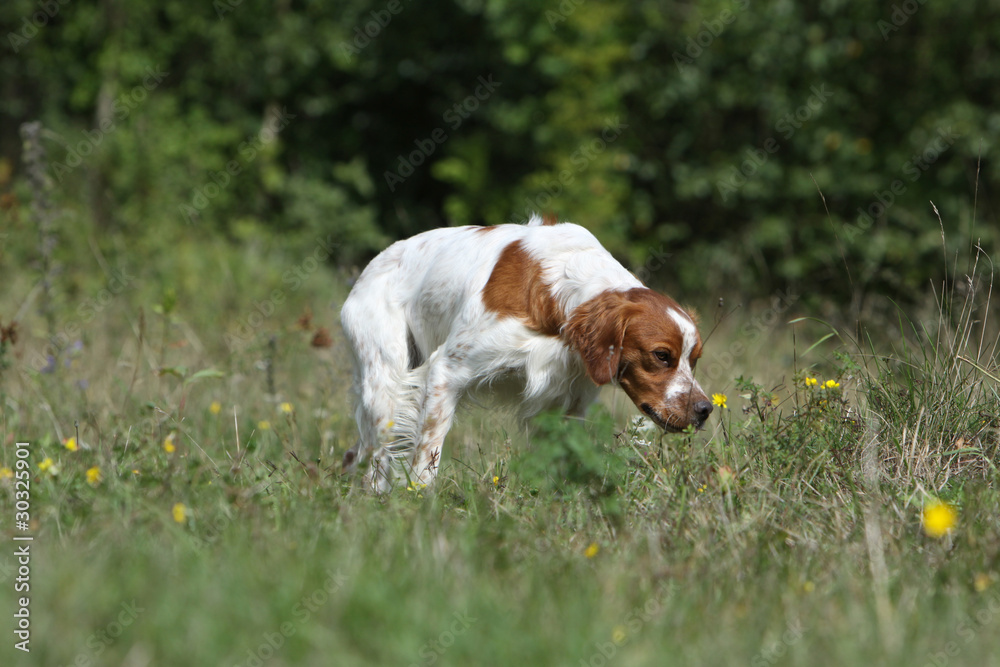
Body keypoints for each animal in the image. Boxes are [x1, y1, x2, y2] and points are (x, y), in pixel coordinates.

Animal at [342, 214, 712, 490]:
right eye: (662, 355)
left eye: (694, 360)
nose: (705, 409)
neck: (560, 297)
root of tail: (370, 267)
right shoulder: (445, 373)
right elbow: (426, 460)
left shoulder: (568, 402)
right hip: (384, 387)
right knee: (377, 460)